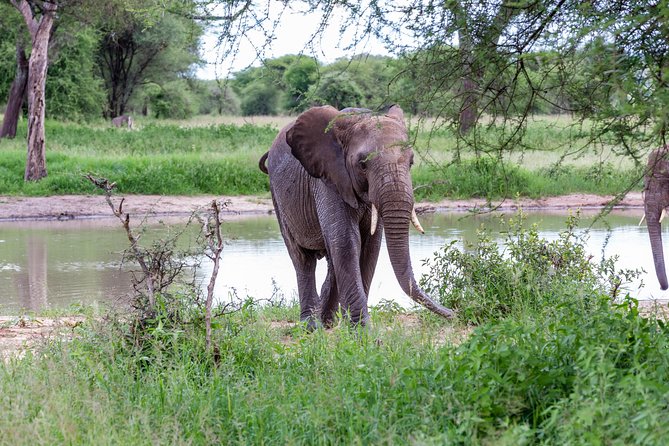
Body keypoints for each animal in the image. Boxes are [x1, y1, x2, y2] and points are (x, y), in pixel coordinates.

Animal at [258, 104, 455, 327]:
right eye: (362, 164)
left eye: (411, 162)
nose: (452, 313)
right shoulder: (328, 179)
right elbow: (346, 240)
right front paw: (363, 331)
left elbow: (370, 245)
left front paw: (353, 327)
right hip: (277, 195)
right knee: (302, 258)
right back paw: (311, 326)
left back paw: (327, 321)